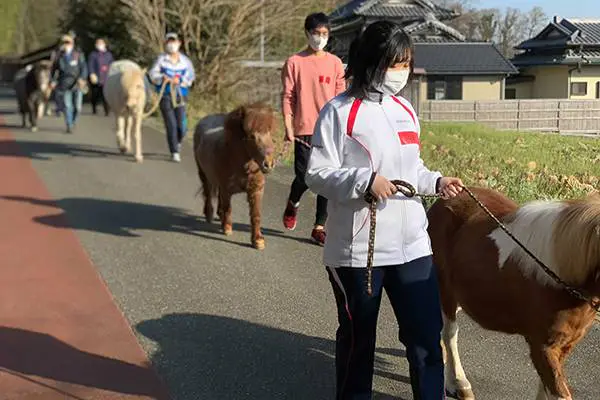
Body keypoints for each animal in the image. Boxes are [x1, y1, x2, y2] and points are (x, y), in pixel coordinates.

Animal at [193, 101, 276, 248]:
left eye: (269, 133)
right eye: (252, 136)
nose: (269, 164)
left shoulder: (256, 190)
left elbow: (256, 214)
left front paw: (258, 240)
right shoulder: (226, 188)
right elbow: (228, 208)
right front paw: (227, 228)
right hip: (204, 175)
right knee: (208, 193)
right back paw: (210, 214)